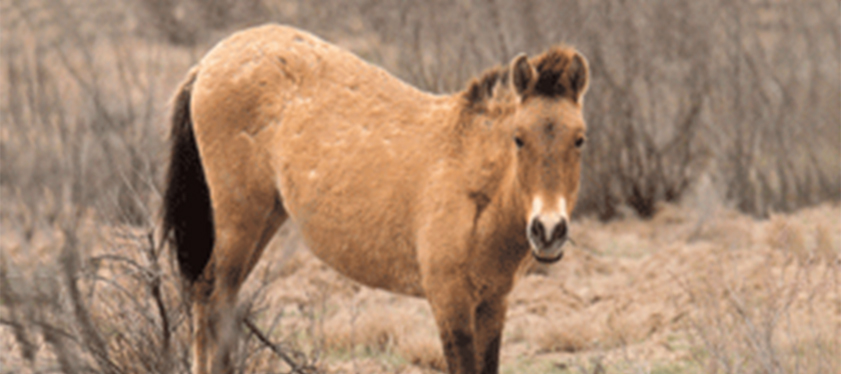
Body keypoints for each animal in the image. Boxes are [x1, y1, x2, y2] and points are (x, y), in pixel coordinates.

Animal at [161, 24, 588, 374]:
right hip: (239, 221)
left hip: (264, 220)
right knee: (216, 304)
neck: (476, 182)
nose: (548, 230)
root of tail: (207, 63)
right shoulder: (449, 303)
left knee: (209, 298)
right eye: (519, 138)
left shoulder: (493, 304)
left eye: (580, 139)